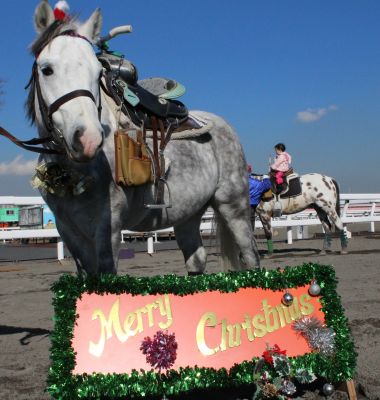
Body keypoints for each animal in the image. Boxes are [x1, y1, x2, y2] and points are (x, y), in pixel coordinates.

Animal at [27, 2, 262, 276]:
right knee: (196, 259)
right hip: (188, 214)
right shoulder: (68, 231)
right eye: (47, 69)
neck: (72, 171)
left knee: (250, 256)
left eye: (97, 73)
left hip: (234, 207)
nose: (87, 139)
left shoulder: (108, 227)